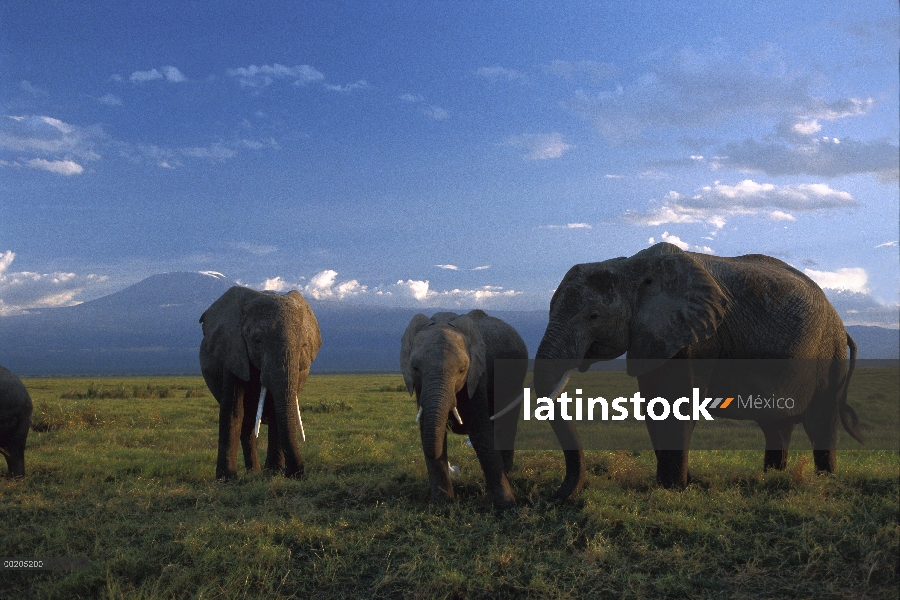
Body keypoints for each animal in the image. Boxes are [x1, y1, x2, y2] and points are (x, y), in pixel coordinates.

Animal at [201, 288, 324, 480]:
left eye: (303, 345)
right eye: (257, 341)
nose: (294, 474)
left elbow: (276, 411)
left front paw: (273, 473)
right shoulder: (233, 352)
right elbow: (233, 410)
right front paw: (226, 480)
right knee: (246, 424)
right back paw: (253, 472)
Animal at [400, 310, 528, 510]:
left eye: (461, 370)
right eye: (415, 368)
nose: (454, 470)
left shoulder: (477, 375)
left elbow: (480, 433)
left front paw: (507, 507)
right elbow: (429, 432)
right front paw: (443, 504)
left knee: (506, 426)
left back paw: (507, 473)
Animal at [536, 241, 864, 500]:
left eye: (593, 316)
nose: (552, 496)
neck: (632, 266)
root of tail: (841, 324)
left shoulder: (698, 339)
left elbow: (677, 404)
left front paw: (673, 489)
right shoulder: (655, 337)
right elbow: (656, 404)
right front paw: (675, 484)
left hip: (829, 355)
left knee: (820, 420)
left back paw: (826, 481)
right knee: (776, 425)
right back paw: (772, 478)